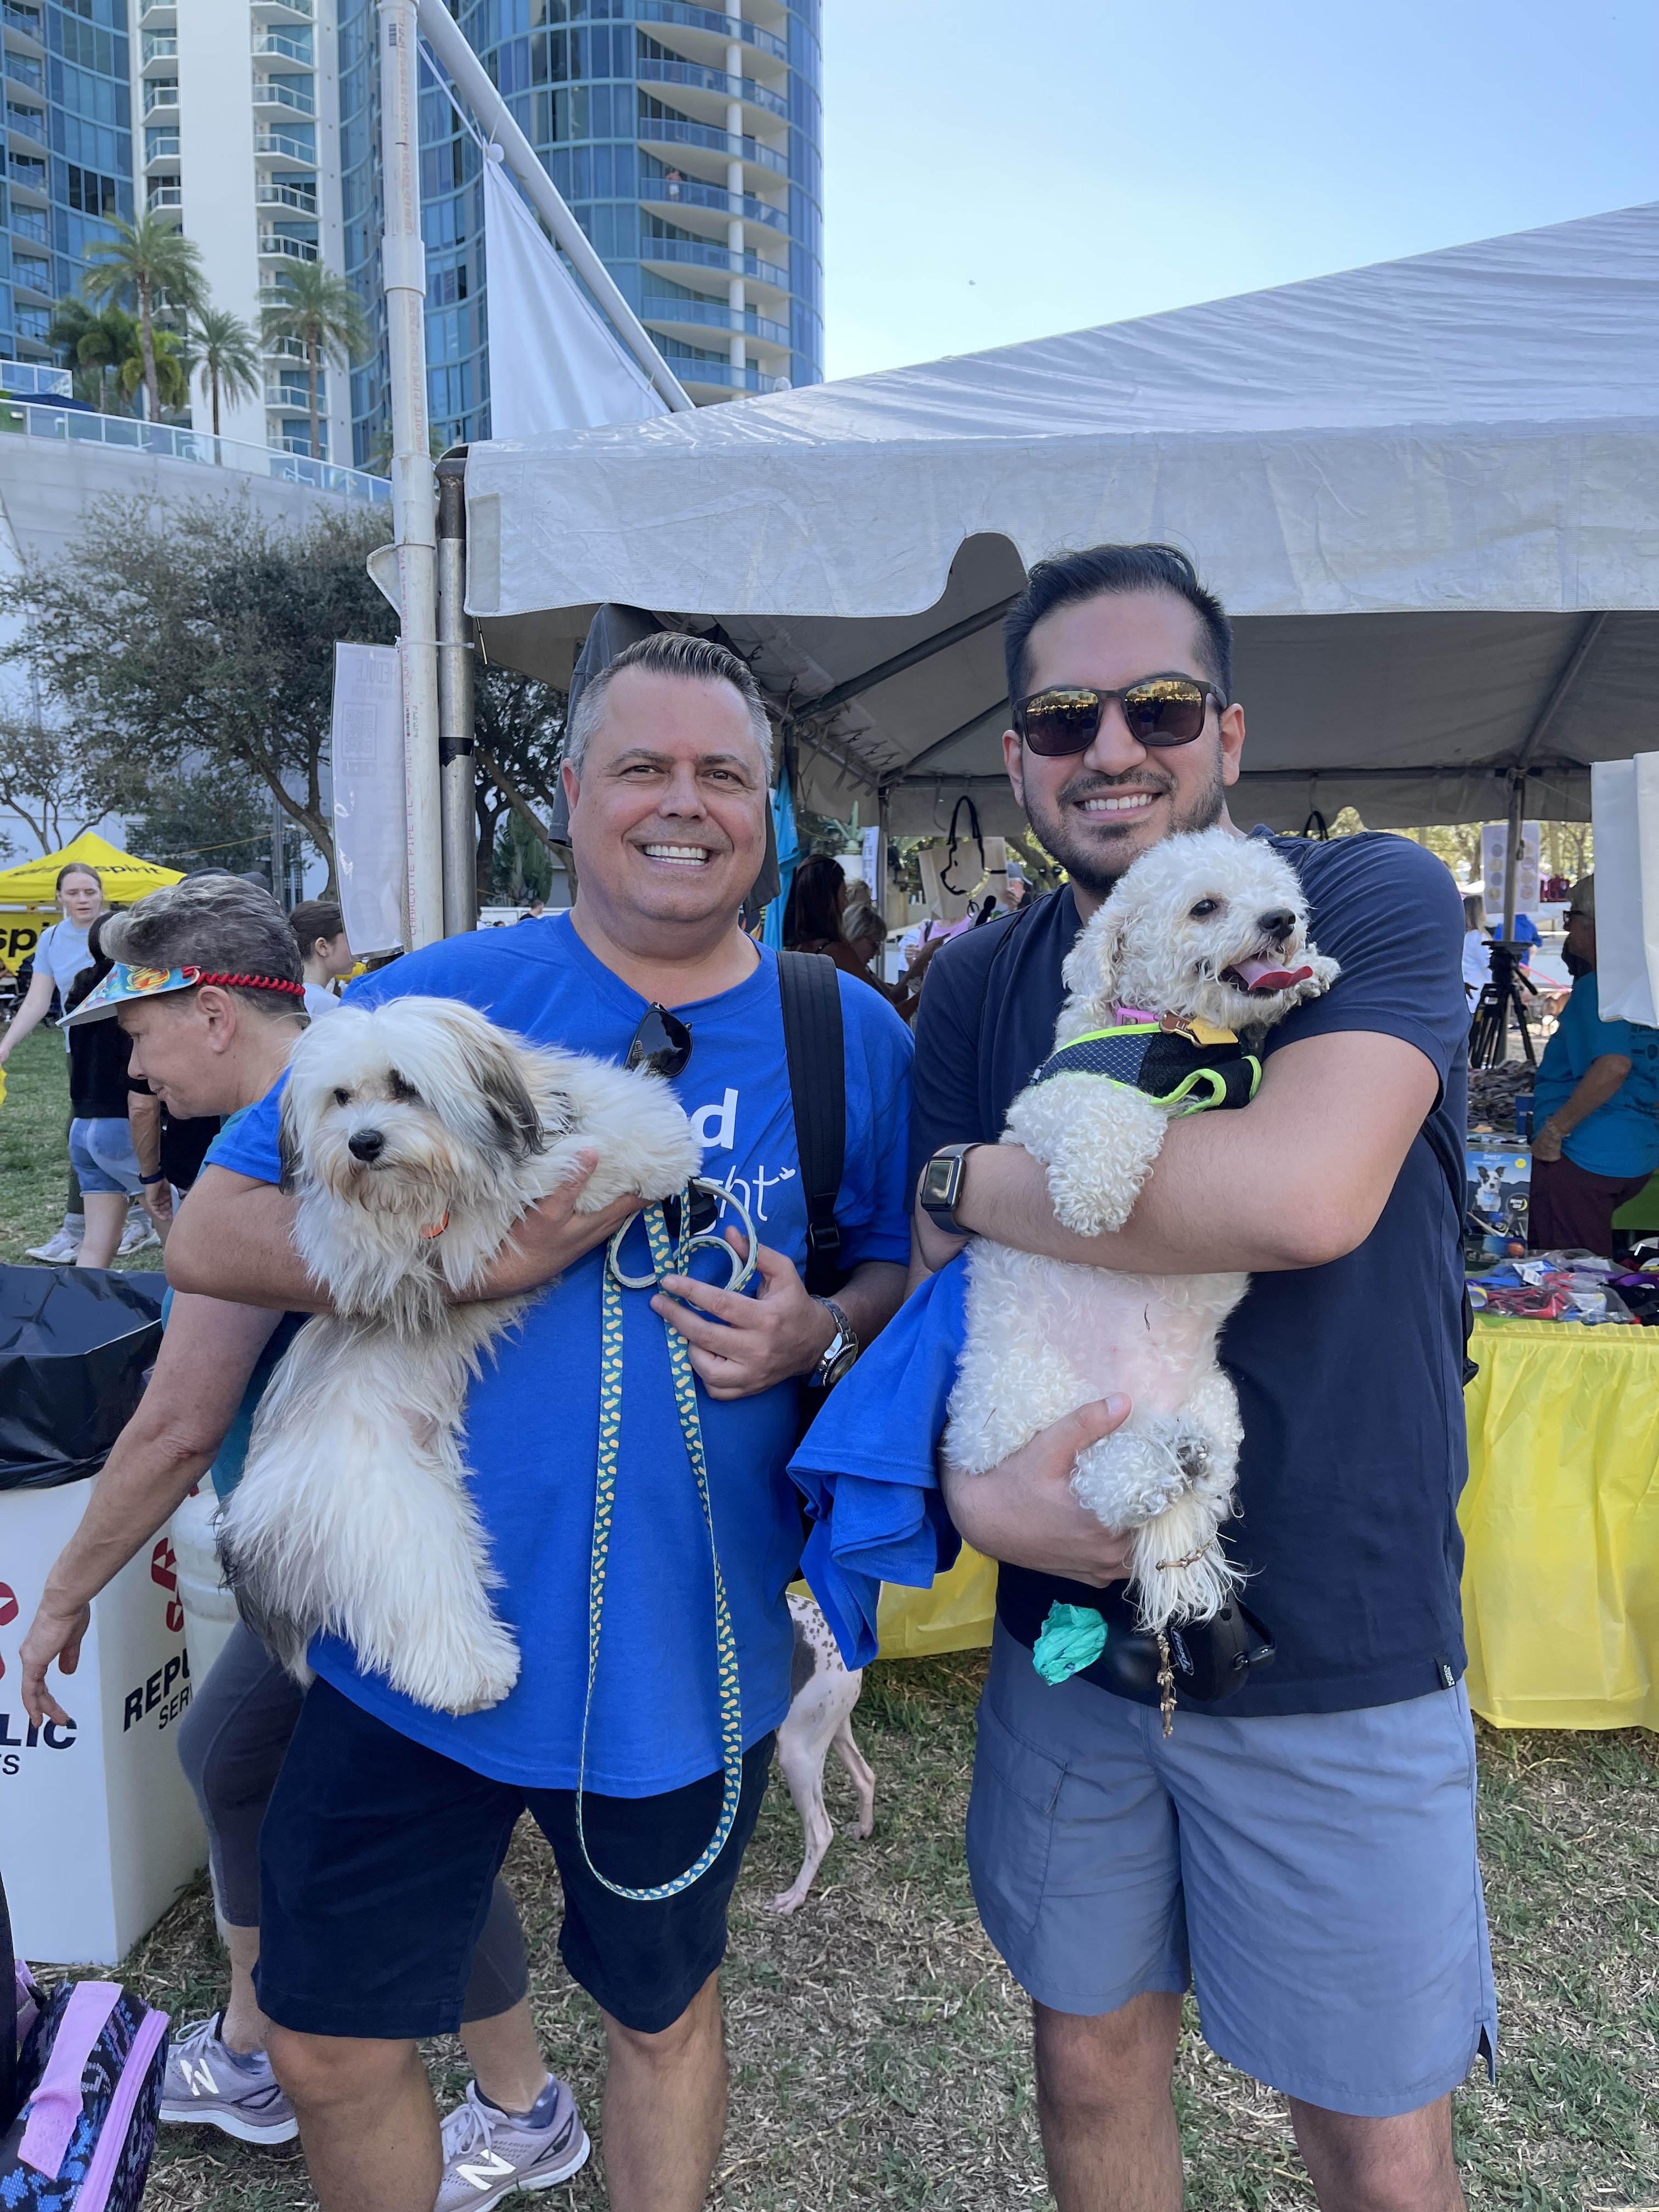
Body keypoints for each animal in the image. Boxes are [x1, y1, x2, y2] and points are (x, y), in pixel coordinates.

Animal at [216, 1000, 703, 1707]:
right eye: (340, 1098)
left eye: (404, 1086)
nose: (363, 1143)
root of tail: (250, 1519)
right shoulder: (450, 1236)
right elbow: (530, 1183)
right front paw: (607, 1158)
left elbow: (599, 1099)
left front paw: (650, 1129)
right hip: (385, 1510)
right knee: (421, 1591)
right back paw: (471, 1672)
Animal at [942, 832, 1345, 1628]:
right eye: (1205, 907)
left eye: (1276, 895)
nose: (1283, 921)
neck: (1175, 1034)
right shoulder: (1049, 1108)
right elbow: (1113, 1111)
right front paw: (1096, 1196)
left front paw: (1311, 972)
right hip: (1029, 1403)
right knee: (1096, 1476)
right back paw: (1142, 1476)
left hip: (1214, 1399)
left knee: (1205, 1477)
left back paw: (1184, 1455)